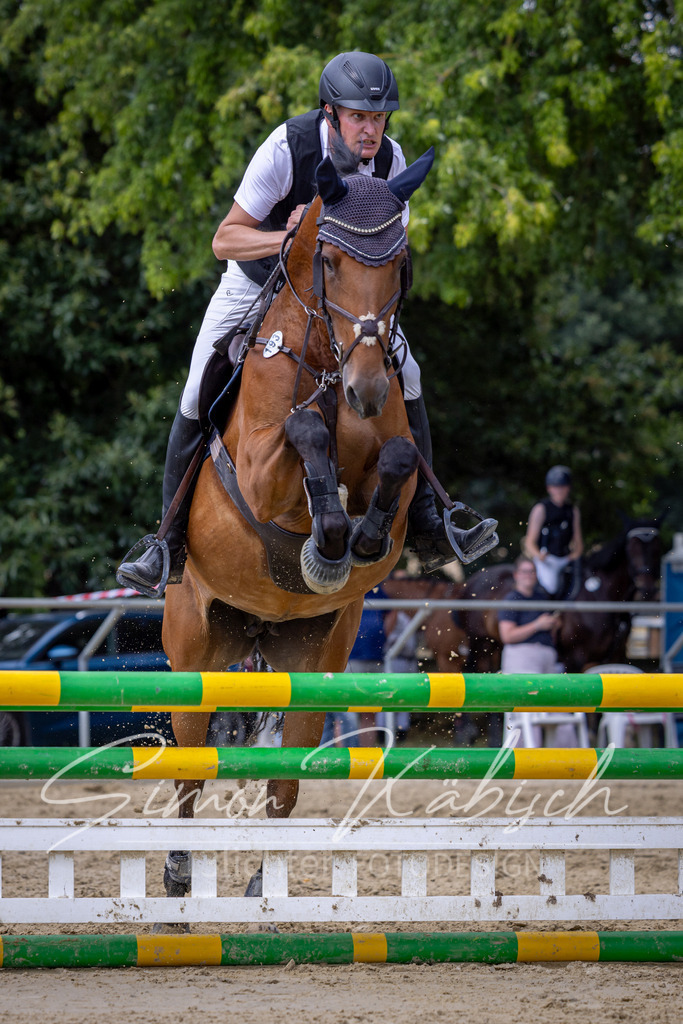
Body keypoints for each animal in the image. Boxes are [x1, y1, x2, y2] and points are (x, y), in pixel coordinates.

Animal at [158, 144, 495, 904]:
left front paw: (349, 543)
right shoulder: (259, 471)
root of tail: (255, 627)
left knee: (283, 782)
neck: (328, 365)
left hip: (314, 659)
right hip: (194, 647)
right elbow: (304, 430)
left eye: (398, 264)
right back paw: (176, 869)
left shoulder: (392, 456)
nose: (367, 389)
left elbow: (397, 459)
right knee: (191, 765)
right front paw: (328, 539)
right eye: (332, 262)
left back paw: (264, 879)